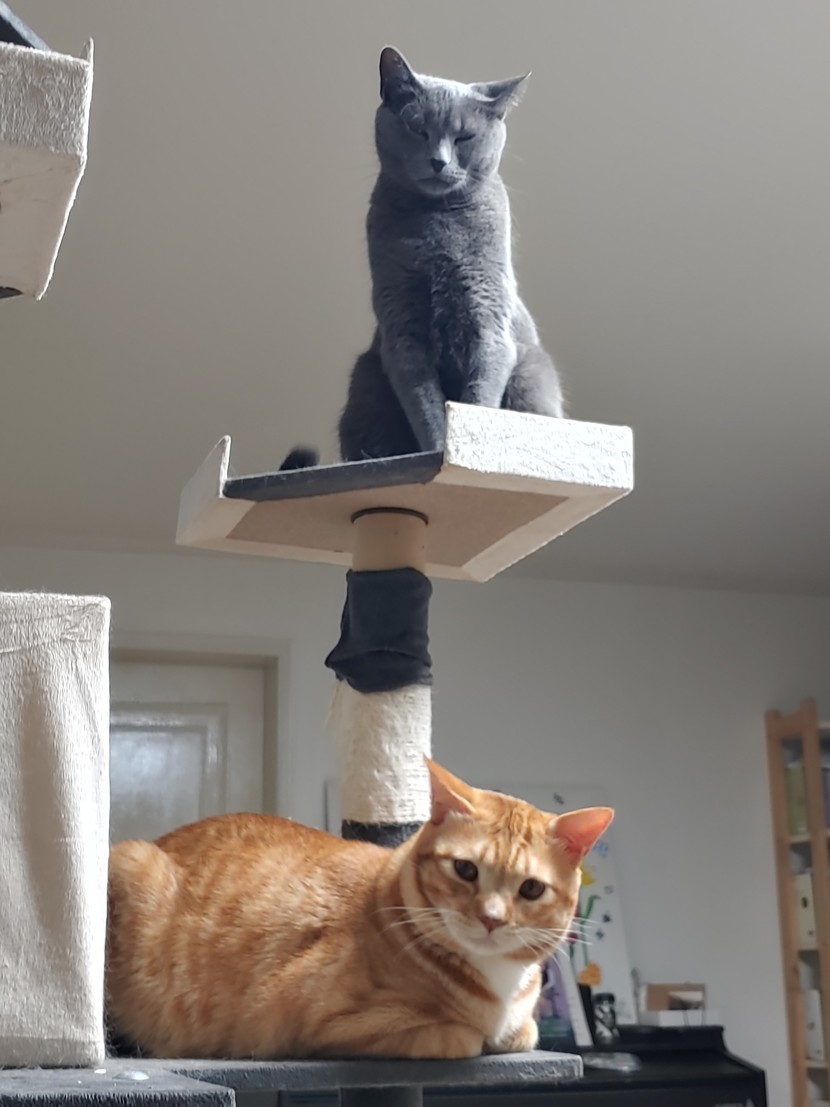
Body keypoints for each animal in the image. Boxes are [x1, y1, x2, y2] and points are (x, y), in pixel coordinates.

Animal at [106, 759, 612, 1060]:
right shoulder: (318, 1022)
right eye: (466, 870)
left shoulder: (522, 1026)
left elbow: (525, 1032)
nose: (491, 918)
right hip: (129, 861)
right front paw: (475, 1034)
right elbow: (460, 1036)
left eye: (531, 889)